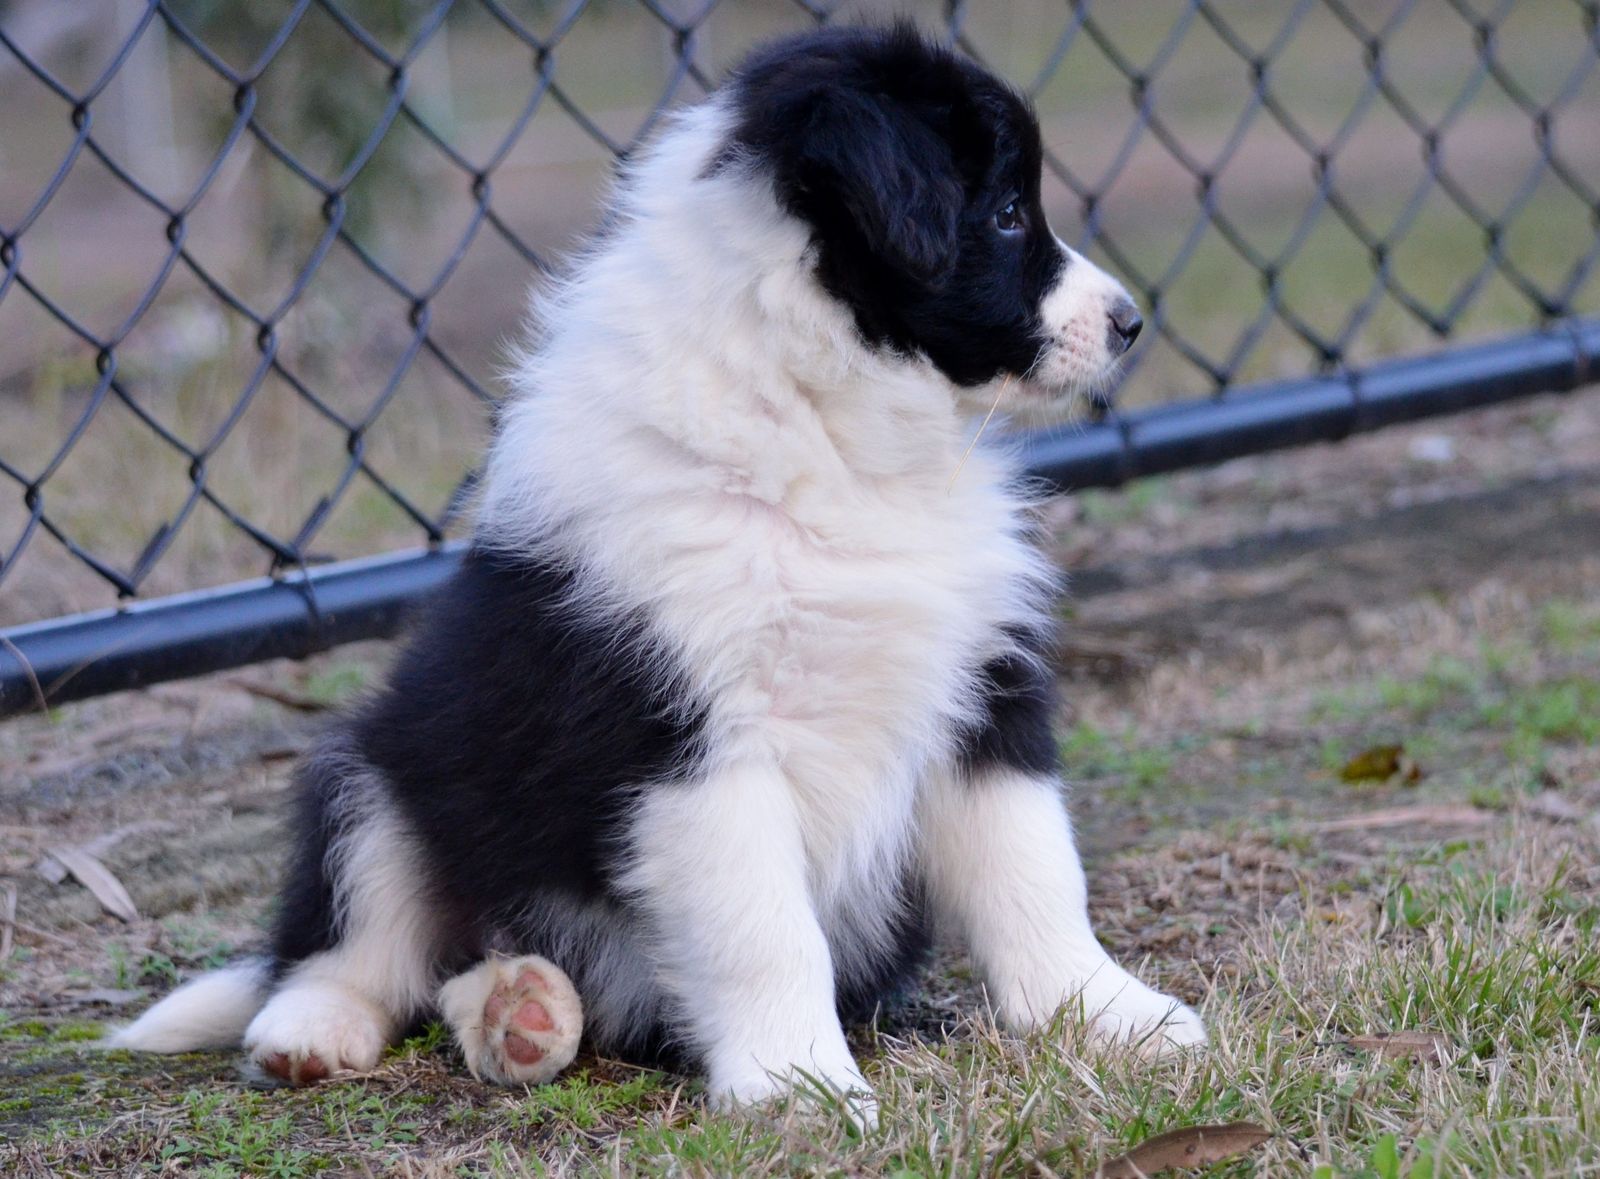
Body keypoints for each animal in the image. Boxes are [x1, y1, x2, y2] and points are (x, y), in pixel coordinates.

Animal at [114, 24, 1205, 1111]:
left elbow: (1034, 869)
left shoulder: (981, 683)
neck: (828, 428)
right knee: (359, 946)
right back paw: (316, 1029)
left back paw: (520, 1013)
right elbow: (764, 930)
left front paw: (1111, 1016)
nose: (1131, 321)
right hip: (376, 772)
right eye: (1010, 215)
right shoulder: (688, 738)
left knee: (459, 972)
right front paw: (799, 1086)